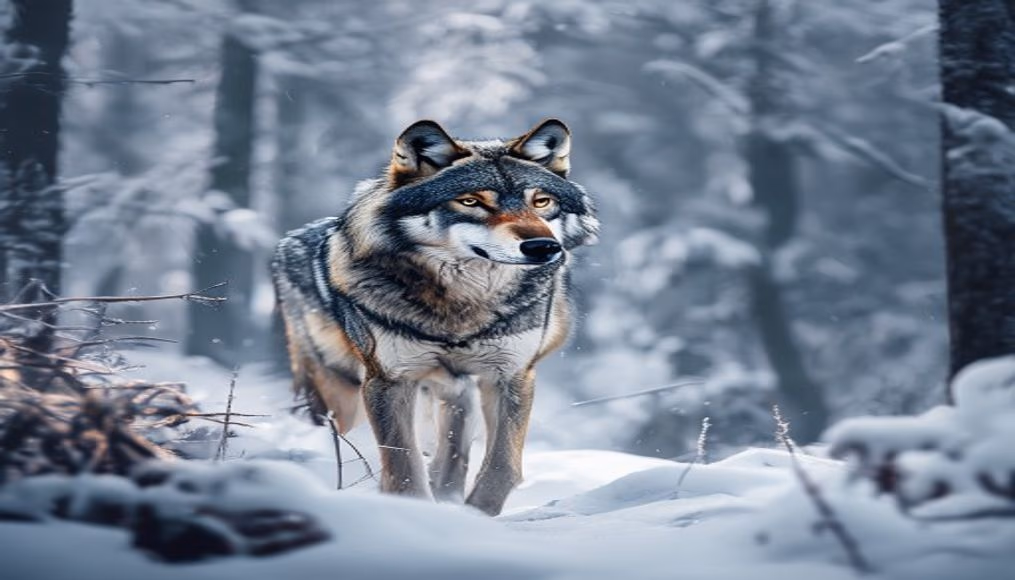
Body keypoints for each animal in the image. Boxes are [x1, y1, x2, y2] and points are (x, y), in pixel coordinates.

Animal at [271, 119, 599, 515]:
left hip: (454, 387)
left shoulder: (511, 375)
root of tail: (286, 243)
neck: (464, 304)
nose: (543, 247)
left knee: (452, 450)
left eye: (541, 201)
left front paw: (472, 515)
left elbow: (503, 465)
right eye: (471, 201)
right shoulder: (388, 381)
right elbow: (402, 469)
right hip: (341, 392)